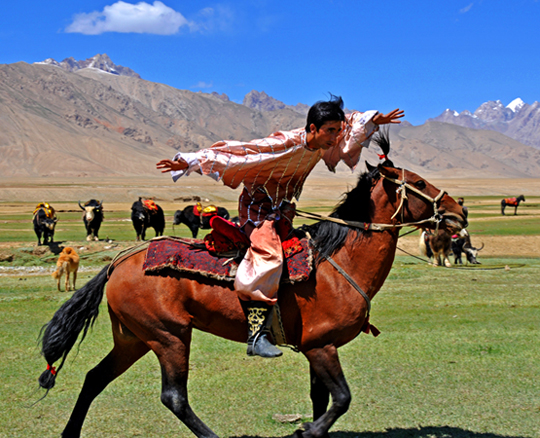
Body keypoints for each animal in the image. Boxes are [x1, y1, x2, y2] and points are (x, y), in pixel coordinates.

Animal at [39, 139, 468, 438]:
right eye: (418, 183)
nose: (458, 212)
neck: (339, 264)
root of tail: (120, 261)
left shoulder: (316, 348)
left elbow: (321, 400)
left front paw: (309, 430)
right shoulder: (321, 346)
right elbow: (342, 399)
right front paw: (305, 431)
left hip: (134, 338)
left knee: (94, 378)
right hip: (169, 336)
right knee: (174, 396)